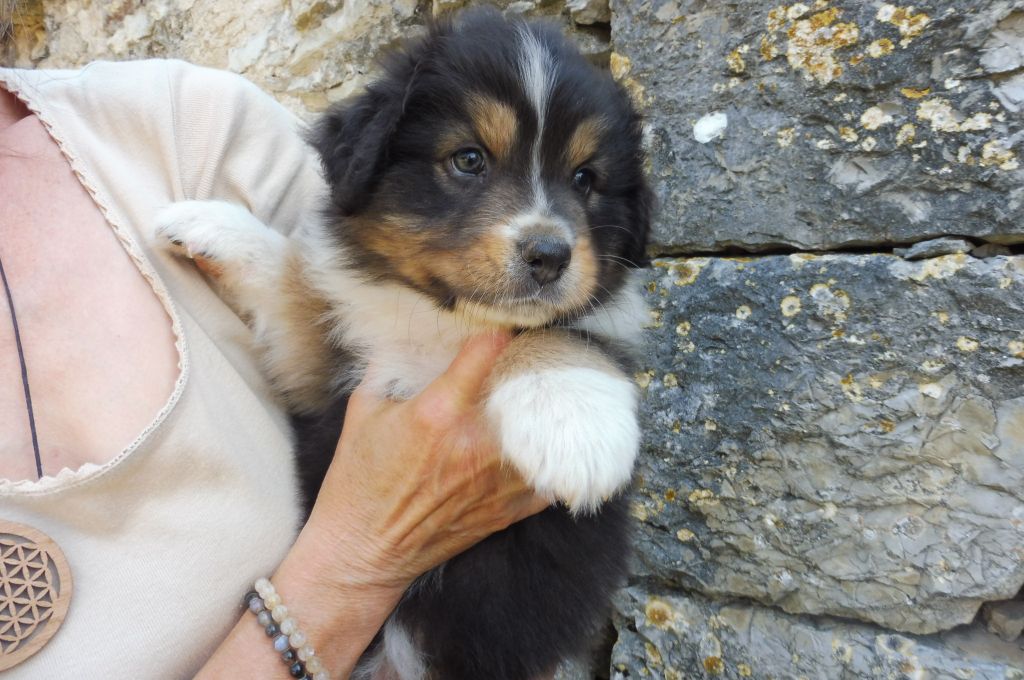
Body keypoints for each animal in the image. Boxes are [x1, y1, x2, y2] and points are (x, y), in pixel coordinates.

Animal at [156, 7, 651, 675]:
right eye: (468, 160)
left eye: (585, 178)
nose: (550, 255)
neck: (446, 322)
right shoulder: (329, 375)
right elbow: (296, 289)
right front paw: (210, 223)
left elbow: (555, 334)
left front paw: (574, 427)